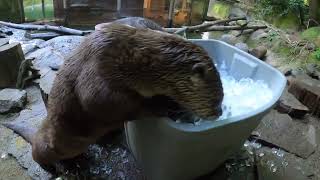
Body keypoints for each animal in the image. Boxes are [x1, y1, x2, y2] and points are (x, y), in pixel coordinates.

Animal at [3, 23, 224, 171]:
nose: (219, 112)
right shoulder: (99, 71)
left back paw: (80, 161)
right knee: (37, 154)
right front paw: (163, 105)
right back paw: (51, 167)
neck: (136, 62)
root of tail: (41, 129)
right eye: (217, 99)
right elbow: (100, 102)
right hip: (46, 145)